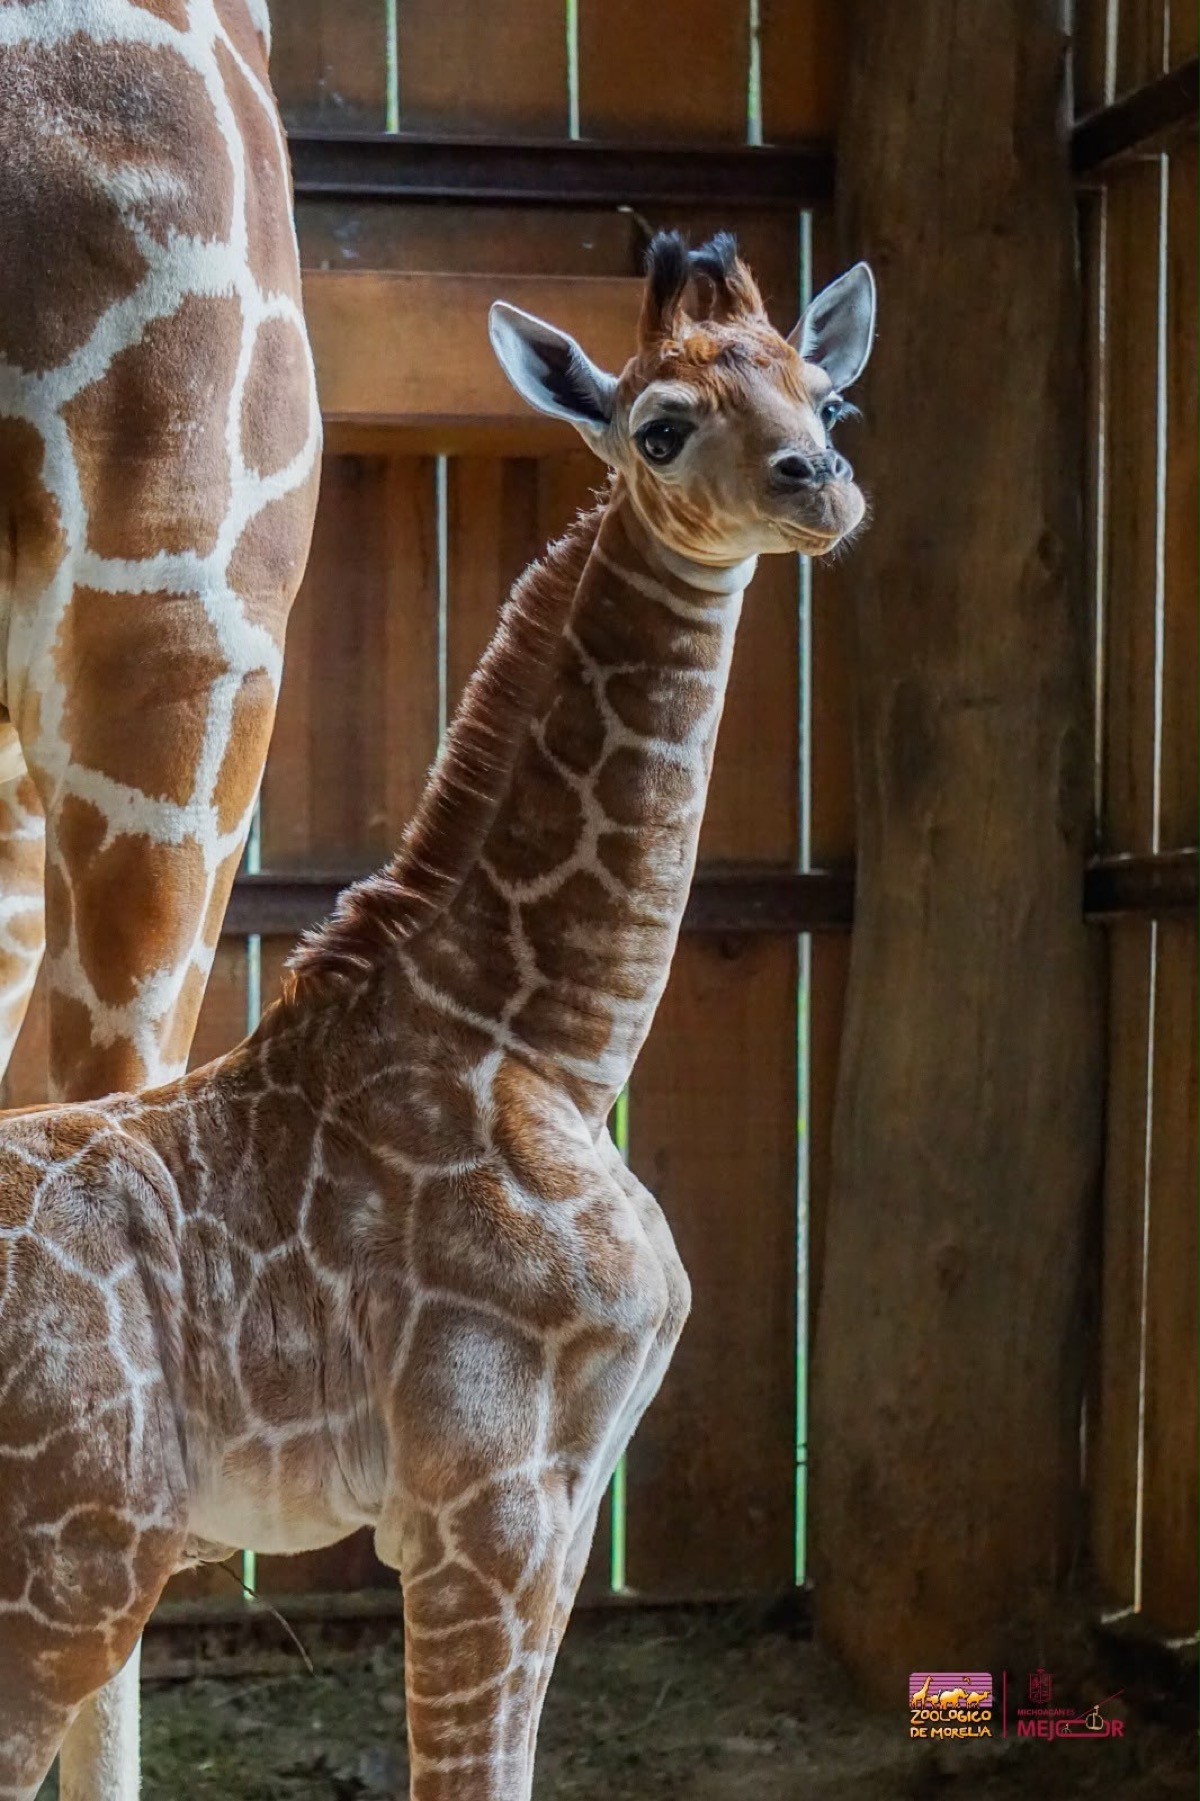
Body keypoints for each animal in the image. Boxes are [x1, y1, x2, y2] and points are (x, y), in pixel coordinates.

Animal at [0, 234, 873, 1801]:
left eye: (826, 393)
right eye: (659, 425)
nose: (819, 485)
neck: (540, 1045)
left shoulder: (568, 1496)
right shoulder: (484, 1493)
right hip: (74, 1558)